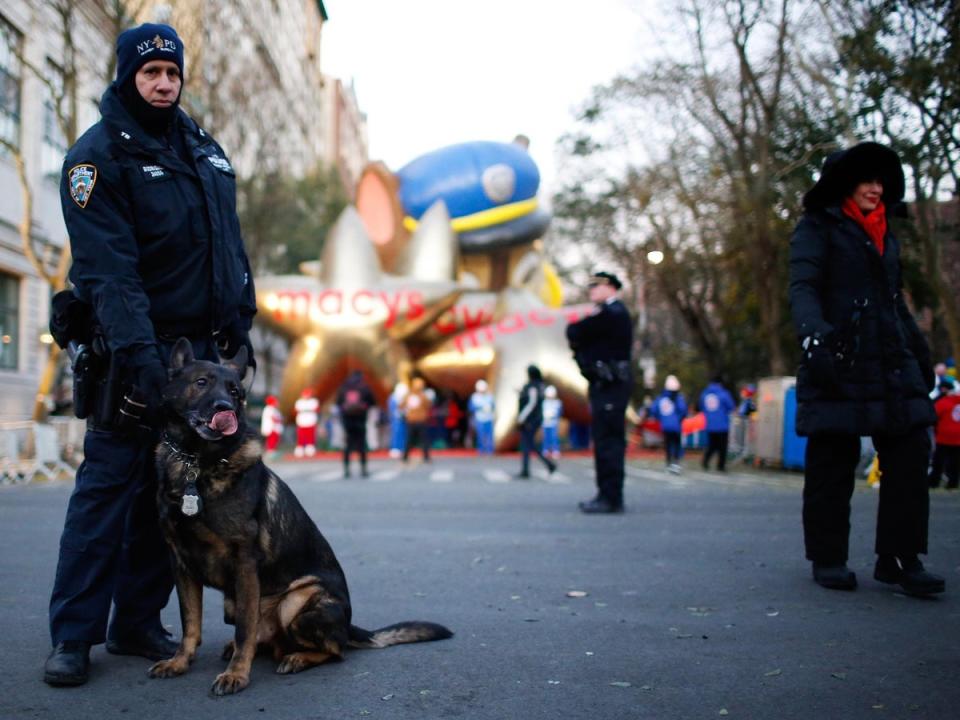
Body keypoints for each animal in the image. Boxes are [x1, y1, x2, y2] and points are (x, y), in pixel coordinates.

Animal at [147, 340, 454, 696]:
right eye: (201, 382)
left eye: (235, 391)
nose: (226, 408)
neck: (196, 463)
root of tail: (349, 625)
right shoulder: (181, 564)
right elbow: (191, 623)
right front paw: (179, 662)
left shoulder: (244, 563)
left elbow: (244, 631)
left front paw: (236, 674)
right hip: (235, 604)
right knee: (266, 640)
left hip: (296, 601)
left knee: (333, 650)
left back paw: (296, 658)